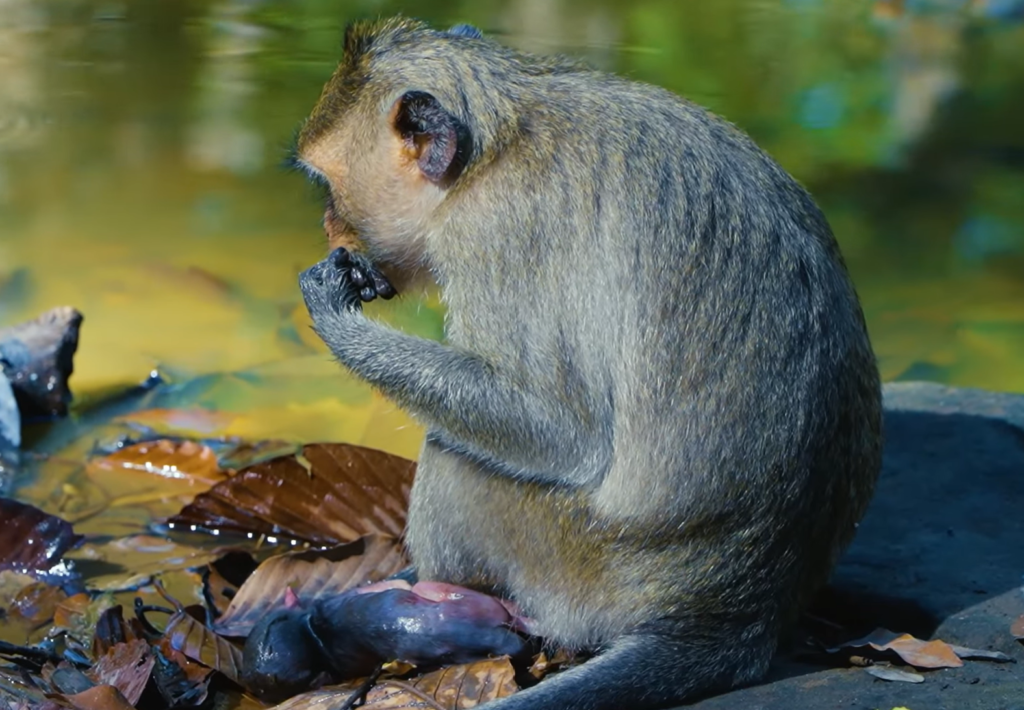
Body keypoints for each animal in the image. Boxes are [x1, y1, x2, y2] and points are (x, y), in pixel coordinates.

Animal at [293, 16, 882, 709]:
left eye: (329, 189)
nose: (330, 230)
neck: (499, 141)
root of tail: (740, 614)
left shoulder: (499, 231)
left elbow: (565, 432)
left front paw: (335, 317)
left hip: (575, 563)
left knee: (456, 452)